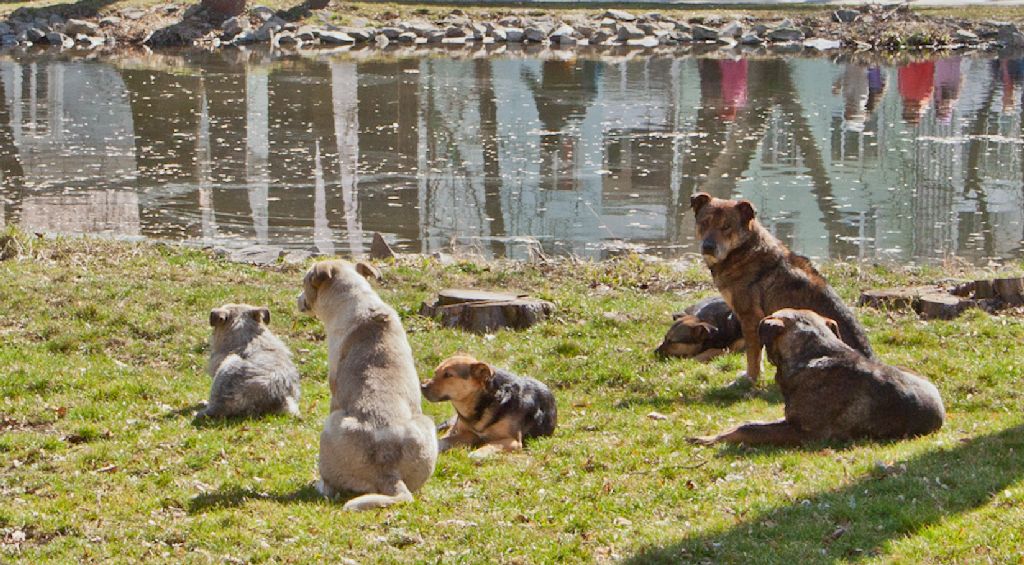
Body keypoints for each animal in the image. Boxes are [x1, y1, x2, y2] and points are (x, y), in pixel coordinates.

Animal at [419, 352, 557, 458]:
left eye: (448, 375)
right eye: (435, 372)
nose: (422, 386)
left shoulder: (513, 441)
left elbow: (490, 445)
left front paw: (477, 454)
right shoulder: (468, 433)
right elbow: (445, 440)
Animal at [688, 192, 872, 386]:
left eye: (726, 227)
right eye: (704, 223)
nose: (708, 246)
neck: (743, 250)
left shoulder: (750, 318)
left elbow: (753, 355)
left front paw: (750, 379)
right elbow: (757, 355)